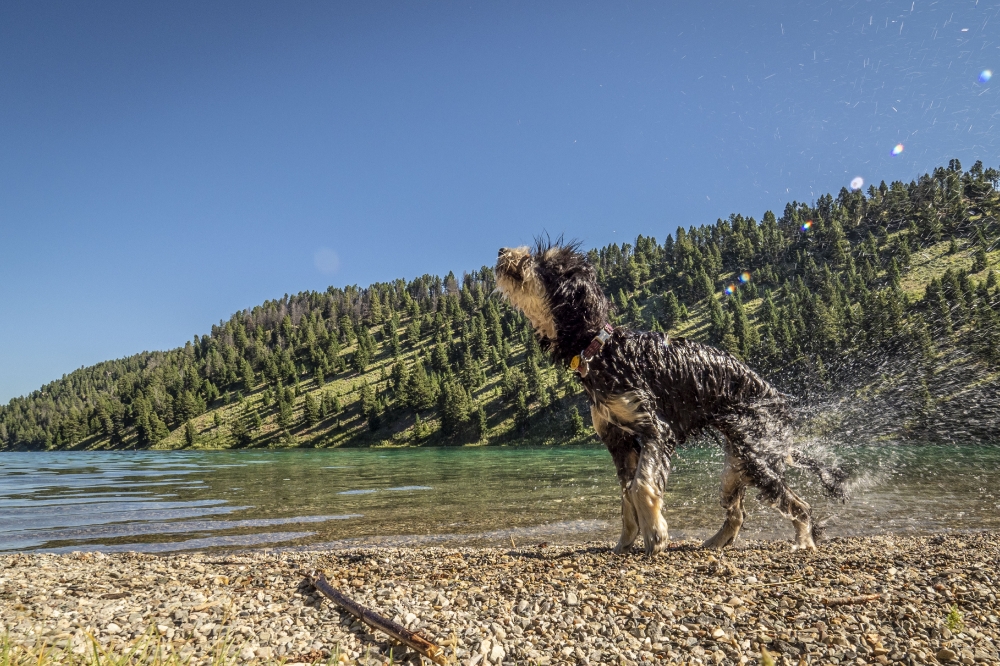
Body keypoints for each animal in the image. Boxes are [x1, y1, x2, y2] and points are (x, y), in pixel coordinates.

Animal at [492, 241, 844, 552]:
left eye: (543, 263)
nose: (502, 251)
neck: (602, 350)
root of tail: (781, 408)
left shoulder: (656, 430)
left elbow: (641, 486)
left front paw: (656, 533)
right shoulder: (618, 441)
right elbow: (626, 494)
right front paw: (626, 541)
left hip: (755, 457)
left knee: (799, 504)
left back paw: (803, 542)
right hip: (734, 471)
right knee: (738, 512)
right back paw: (716, 542)